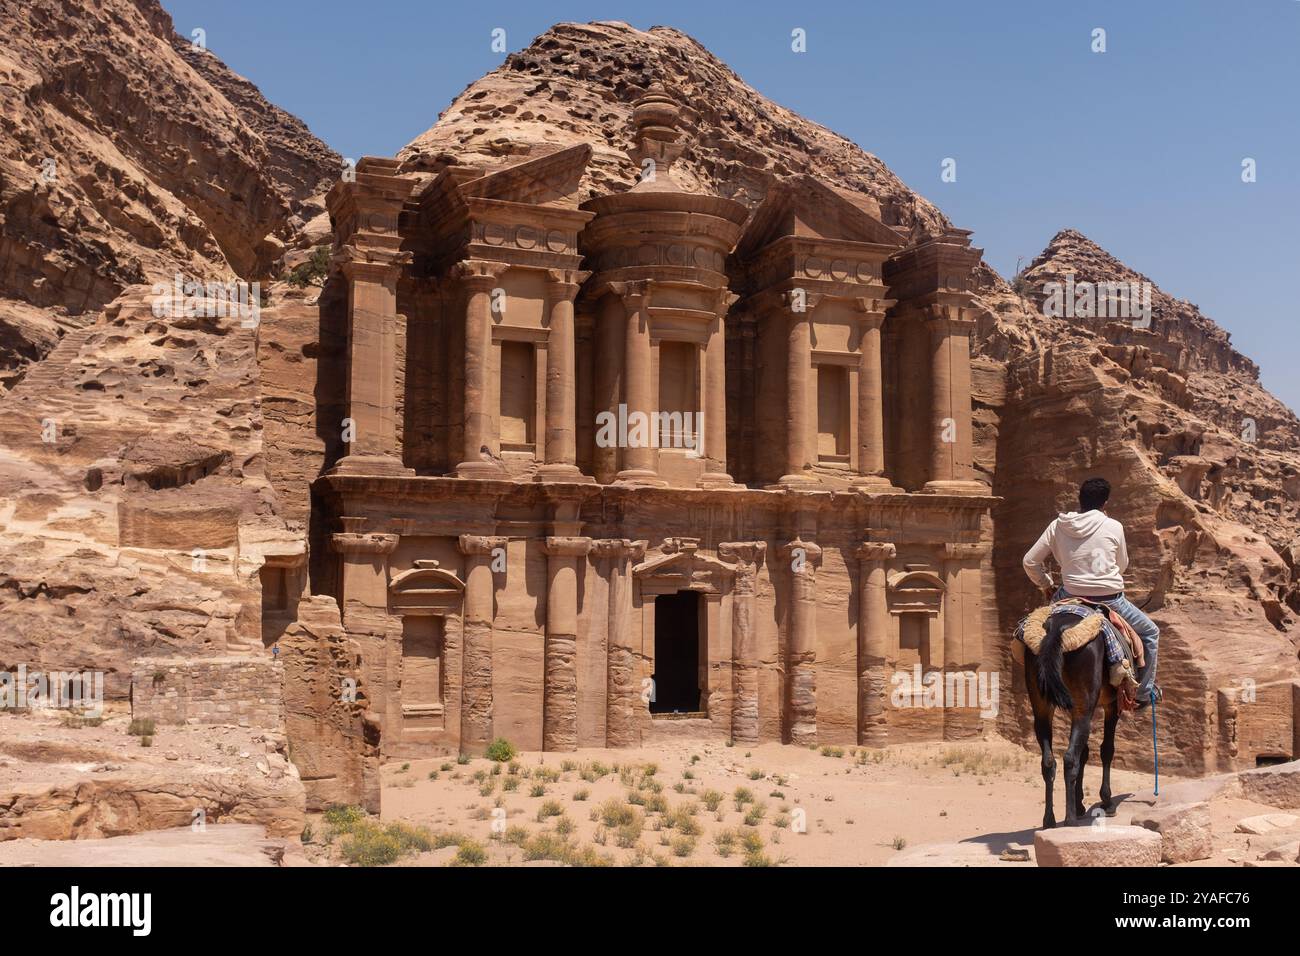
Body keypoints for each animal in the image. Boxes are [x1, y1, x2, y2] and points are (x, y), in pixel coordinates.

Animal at [1024, 613, 1118, 832]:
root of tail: (1056, 627)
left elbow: (1085, 751)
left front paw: (1080, 802)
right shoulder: (1111, 704)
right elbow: (1106, 749)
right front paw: (1107, 801)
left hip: (1042, 705)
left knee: (1048, 761)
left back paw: (1049, 821)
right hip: (1084, 705)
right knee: (1070, 758)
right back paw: (1070, 820)